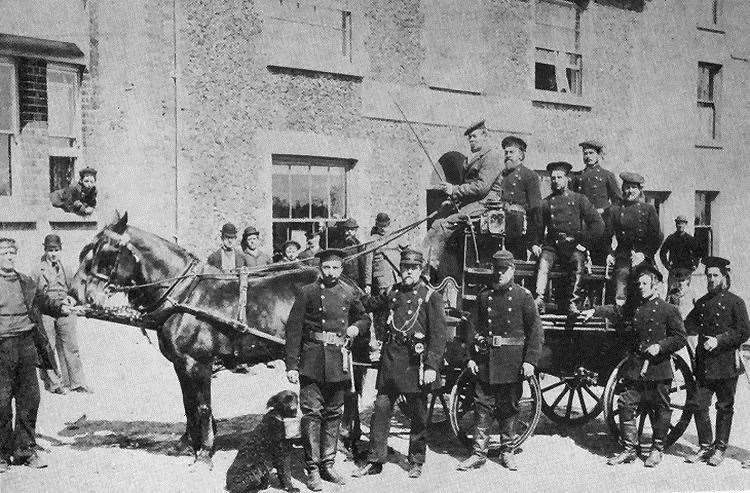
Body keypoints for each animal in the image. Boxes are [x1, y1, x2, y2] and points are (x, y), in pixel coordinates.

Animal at [71, 211, 368, 468]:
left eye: (105, 252)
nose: (75, 292)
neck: (185, 294)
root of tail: (349, 283)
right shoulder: (182, 364)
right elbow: (188, 404)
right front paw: (187, 443)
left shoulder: (198, 363)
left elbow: (202, 406)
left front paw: (204, 452)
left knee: (348, 395)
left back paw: (345, 440)